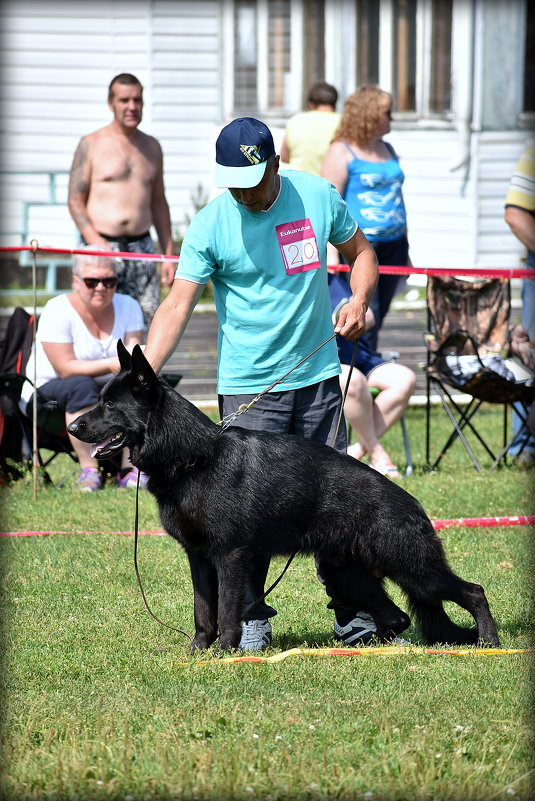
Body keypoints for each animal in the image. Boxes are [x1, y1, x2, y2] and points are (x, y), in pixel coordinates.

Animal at [68, 340, 502, 648]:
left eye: (110, 405)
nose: (72, 427)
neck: (193, 457)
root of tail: (413, 503)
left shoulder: (230, 558)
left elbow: (227, 611)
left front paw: (224, 653)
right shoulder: (199, 559)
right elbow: (203, 612)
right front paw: (197, 653)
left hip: (412, 569)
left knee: (474, 592)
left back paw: (489, 641)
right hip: (349, 574)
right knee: (397, 617)